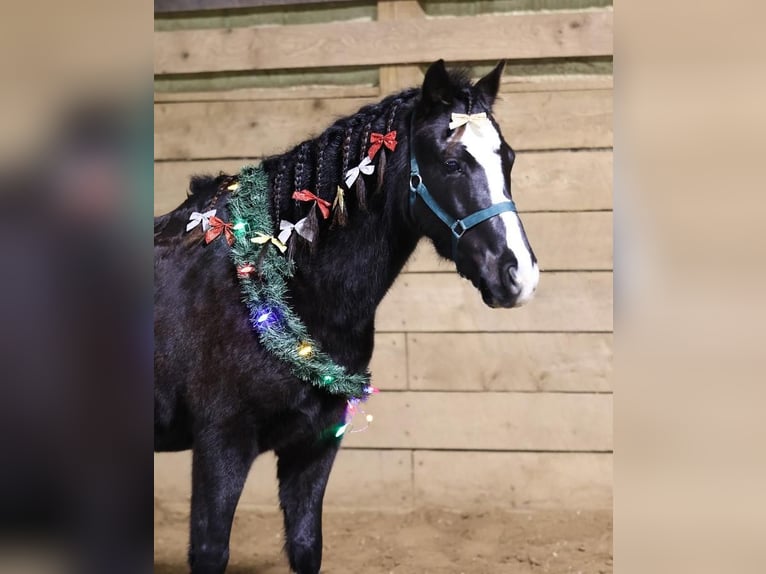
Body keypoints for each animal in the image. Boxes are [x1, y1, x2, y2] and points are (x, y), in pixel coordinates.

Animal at [154, 59, 539, 574]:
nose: (519, 275)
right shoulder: (220, 445)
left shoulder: (315, 445)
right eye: (452, 163)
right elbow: (210, 550)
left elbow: (306, 546)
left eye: (509, 159)